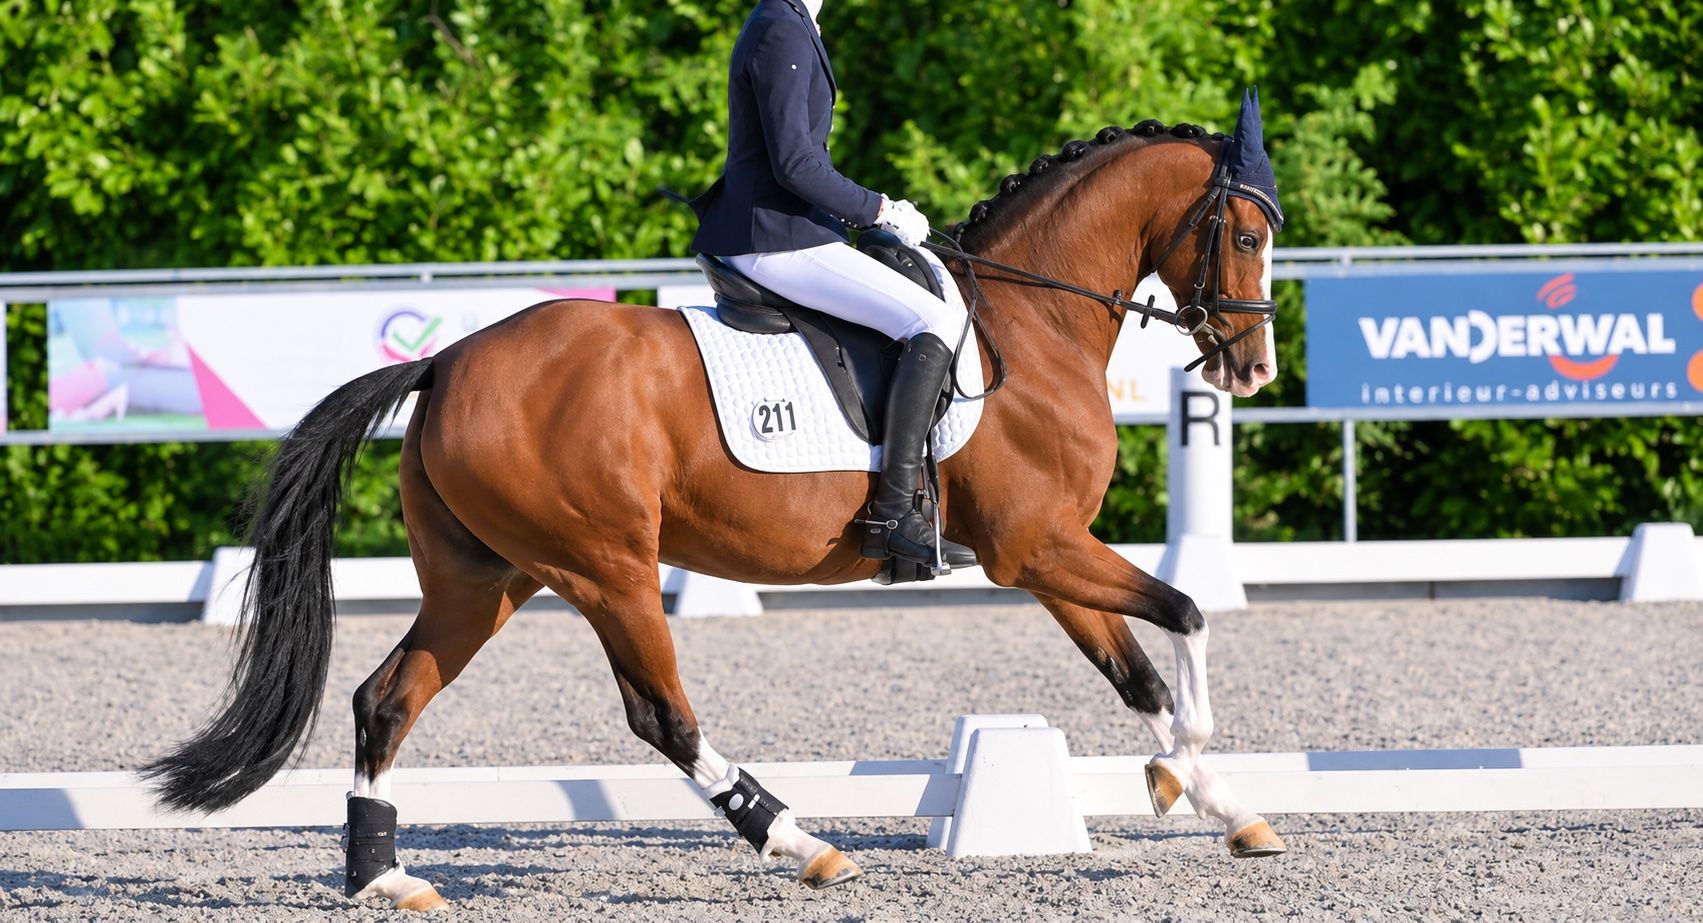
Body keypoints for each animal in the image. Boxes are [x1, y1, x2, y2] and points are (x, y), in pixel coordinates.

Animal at [145, 106, 1286, 910]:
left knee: (387, 696)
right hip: (605, 566)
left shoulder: (1043, 553)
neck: (1028, 323)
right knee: (661, 713)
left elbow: (1137, 671)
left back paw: (384, 875)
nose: (1252, 368)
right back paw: (800, 841)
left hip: (485, 576)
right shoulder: (1036, 547)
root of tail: (449, 359)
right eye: (1240, 234)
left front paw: (1218, 802)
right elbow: (1183, 615)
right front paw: (1191, 773)